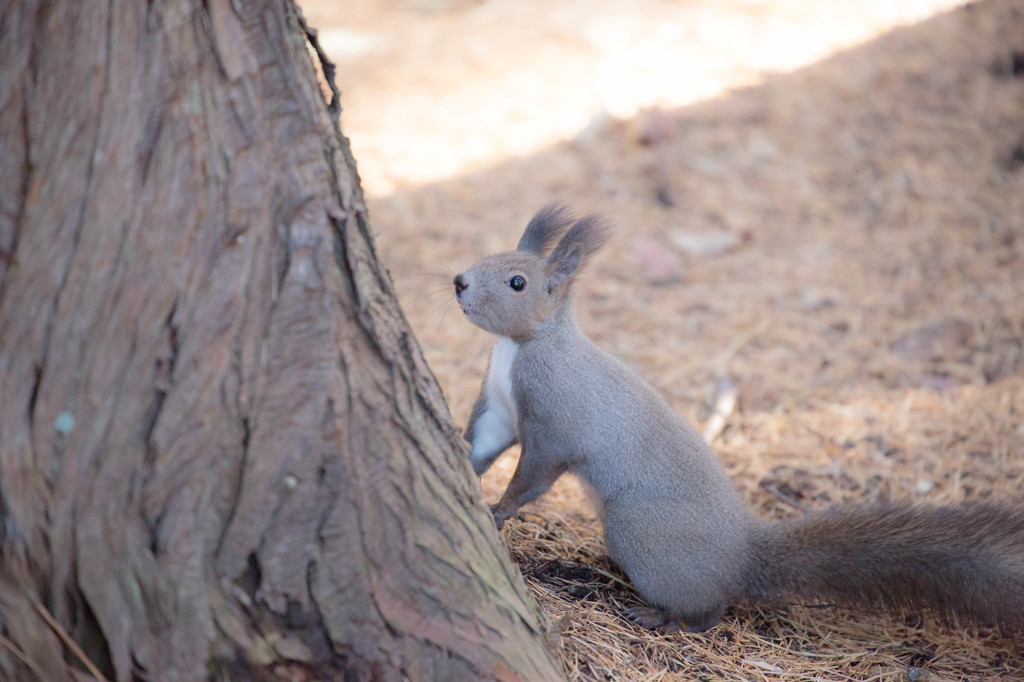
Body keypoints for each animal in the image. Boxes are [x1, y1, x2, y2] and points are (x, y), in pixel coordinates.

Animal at [456, 201, 1024, 630]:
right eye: (489, 256)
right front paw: (464, 462)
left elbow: (534, 474)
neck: (522, 346)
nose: (459, 281)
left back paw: (665, 618)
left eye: (516, 282)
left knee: (711, 609)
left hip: (640, 529)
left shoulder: (557, 420)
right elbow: (483, 441)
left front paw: (499, 511)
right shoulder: (500, 409)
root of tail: (742, 556)